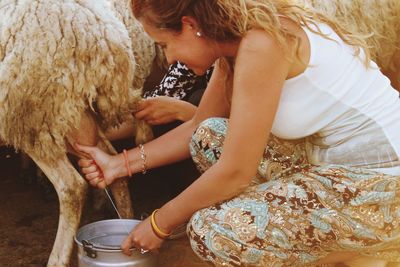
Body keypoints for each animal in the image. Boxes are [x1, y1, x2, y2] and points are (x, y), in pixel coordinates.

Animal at [0, 1, 159, 266]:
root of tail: (107, 40)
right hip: (73, 118)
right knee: (112, 164)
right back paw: (125, 221)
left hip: (35, 115)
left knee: (72, 187)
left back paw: (58, 257)